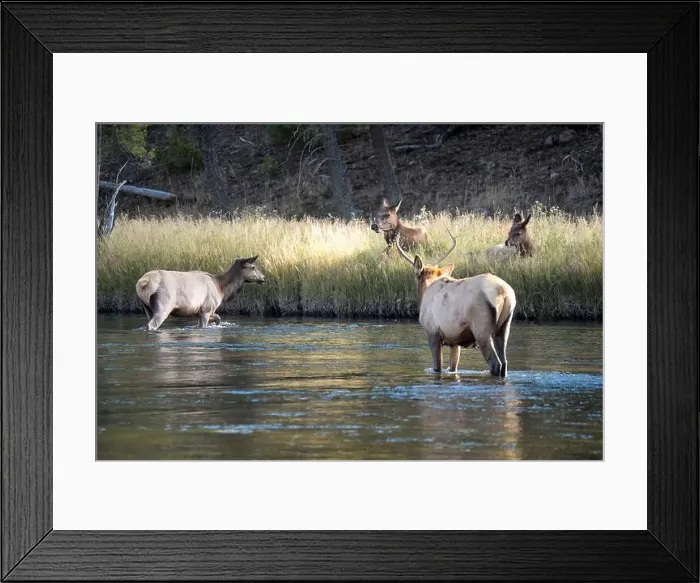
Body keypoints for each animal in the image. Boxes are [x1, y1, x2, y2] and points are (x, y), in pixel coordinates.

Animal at [135, 256, 266, 331]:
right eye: (253, 267)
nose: (263, 278)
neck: (221, 290)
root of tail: (143, 283)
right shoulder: (206, 309)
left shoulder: (203, 311)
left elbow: (219, 318)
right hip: (163, 304)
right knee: (151, 325)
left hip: (147, 307)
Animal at [396, 230, 516, 377]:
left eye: (414, 276)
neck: (426, 290)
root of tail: (503, 291)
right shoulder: (455, 341)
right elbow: (453, 367)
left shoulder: (432, 332)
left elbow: (437, 367)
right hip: (505, 327)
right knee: (504, 362)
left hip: (481, 328)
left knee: (495, 363)